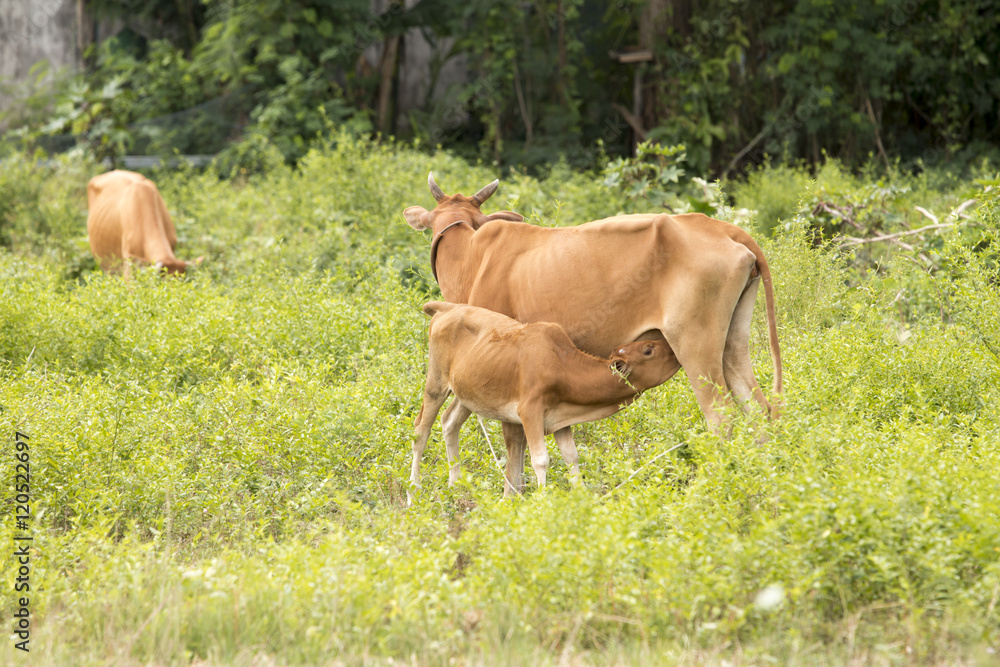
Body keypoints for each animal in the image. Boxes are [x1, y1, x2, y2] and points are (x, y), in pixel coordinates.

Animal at [409, 301, 679, 502]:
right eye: (648, 349)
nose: (672, 347)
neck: (562, 365)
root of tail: (448, 307)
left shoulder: (561, 418)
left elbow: (571, 456)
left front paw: (582, 498)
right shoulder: (530, 411)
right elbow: (541, 460)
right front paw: (542, 502)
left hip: (467, 393)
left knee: (449, 422)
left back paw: (456, 485)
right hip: (436, 383)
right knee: (421, 431)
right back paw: (414, 491)